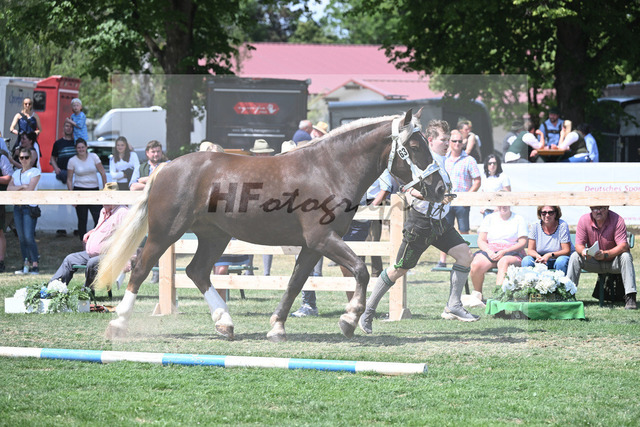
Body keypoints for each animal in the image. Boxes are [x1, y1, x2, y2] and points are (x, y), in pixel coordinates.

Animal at [95, 109, 450, 342]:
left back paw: (224, 323)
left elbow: (296, 283)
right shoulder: (323, 239)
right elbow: (361, 271)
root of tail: (165, 167)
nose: (439, 188)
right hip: (164, 233)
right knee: (141, 270)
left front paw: (277, 326)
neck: (329, 169)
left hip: (215, 236)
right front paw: (349, 319)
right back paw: (118, 325)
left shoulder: (314, 245)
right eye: (414, 146)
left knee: (197, 271)